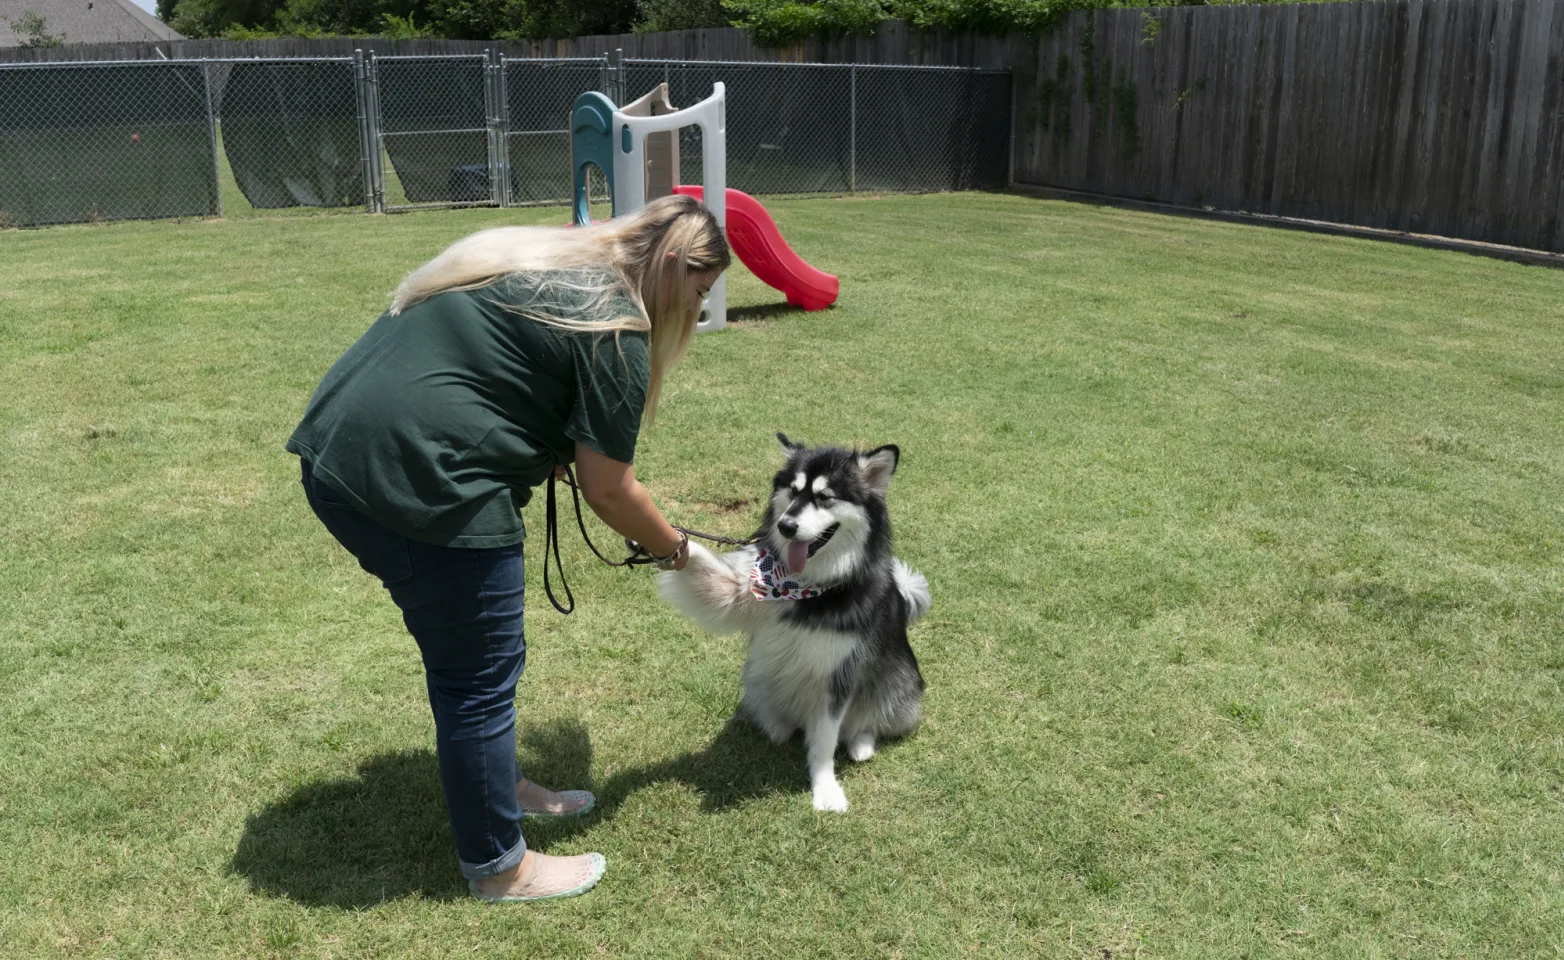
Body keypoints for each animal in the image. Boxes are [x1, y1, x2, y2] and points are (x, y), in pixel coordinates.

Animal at [650, 437, 925, 813]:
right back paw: (777, 726)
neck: (808, 586)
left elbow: (825, 739)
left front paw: (825, 788)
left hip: (900, 681)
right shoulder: (740, 591)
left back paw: (862, 743)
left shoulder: (837, 674)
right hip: (758, 676)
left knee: (869, 719)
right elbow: (705, 572)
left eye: (825, 497)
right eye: (793, 492)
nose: (785, 526)